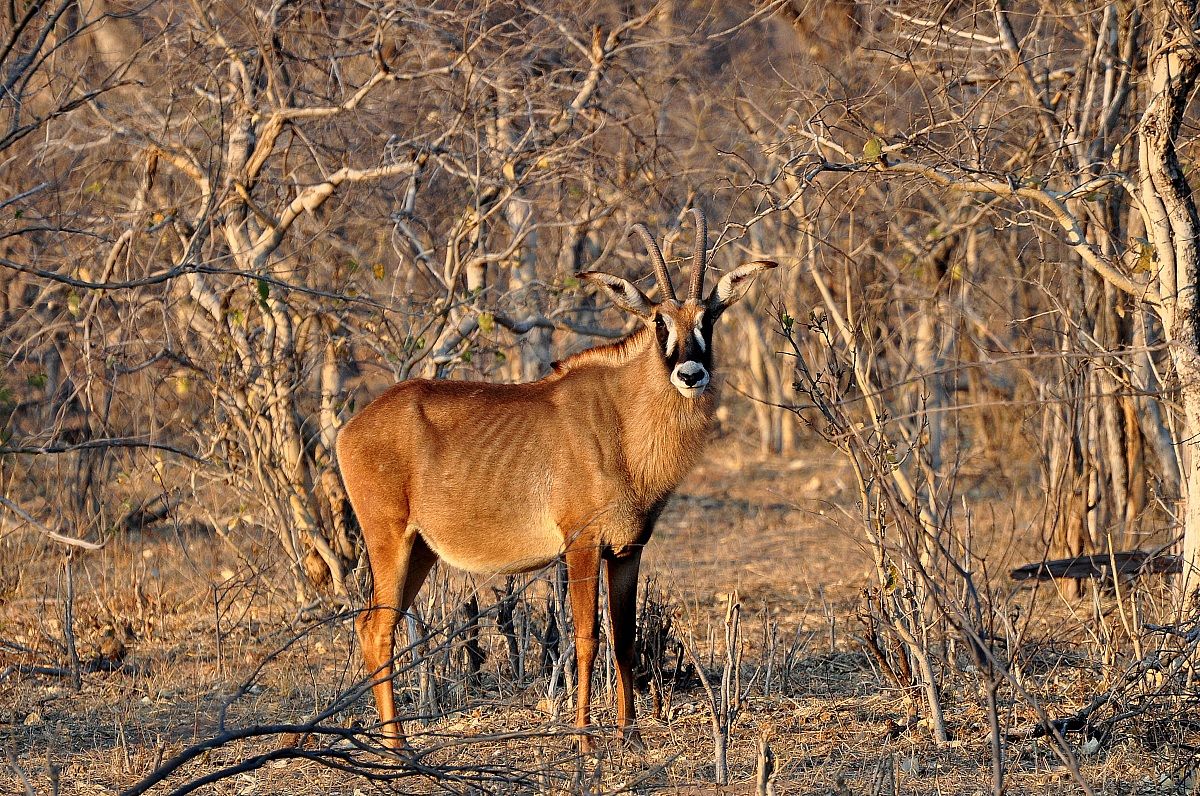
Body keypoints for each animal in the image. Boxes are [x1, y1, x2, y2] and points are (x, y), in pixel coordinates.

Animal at [336, 208, 776, 752]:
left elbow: (624, 638)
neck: (623, 419)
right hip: (389, 540)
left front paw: (630, 734)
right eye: (658, 321)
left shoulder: (627, 551)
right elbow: (586, 638)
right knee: (378, 629)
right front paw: (586, 738)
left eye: (708, 318)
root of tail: (349, 428)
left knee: (372, 627)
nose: (691, 374)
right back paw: (397, 747)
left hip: (420, 549)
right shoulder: (582, 544)